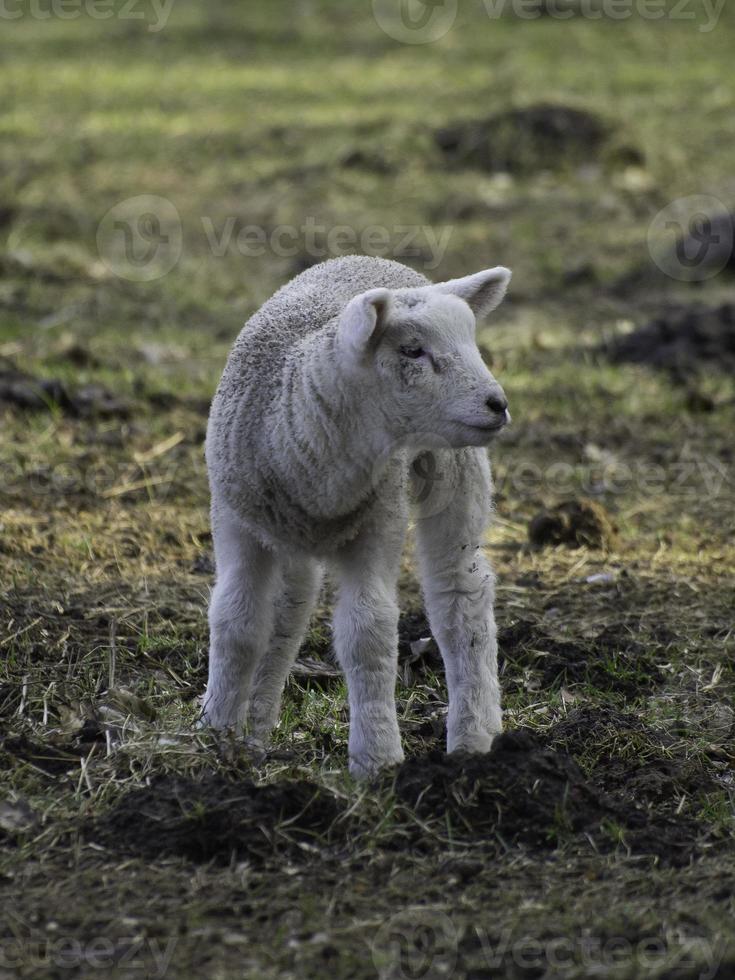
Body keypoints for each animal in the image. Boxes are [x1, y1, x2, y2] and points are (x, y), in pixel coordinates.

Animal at [201, 256, 512, 776]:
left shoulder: (379, 521)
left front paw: (377, 758)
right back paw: (258, 725)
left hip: (454, 467)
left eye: (472, 342)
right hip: (289, 535)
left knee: (459, 596)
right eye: (412, 350)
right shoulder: (235, 521)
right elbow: (237, 623)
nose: (499, 404)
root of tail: (377, 261)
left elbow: (368, 631)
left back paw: (473, 738)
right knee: (290, 610)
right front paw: (215, 734)